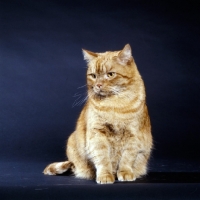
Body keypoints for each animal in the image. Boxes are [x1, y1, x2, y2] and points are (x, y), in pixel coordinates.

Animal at [43, 44, 152, 184]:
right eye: (93, 76)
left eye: (110, 74)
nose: (98, 85)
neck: (114, 106)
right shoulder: (97, 134)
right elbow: (103, 159)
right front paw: (105, 176)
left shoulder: (133, 135)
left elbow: (127, 158)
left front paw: (125, 173)